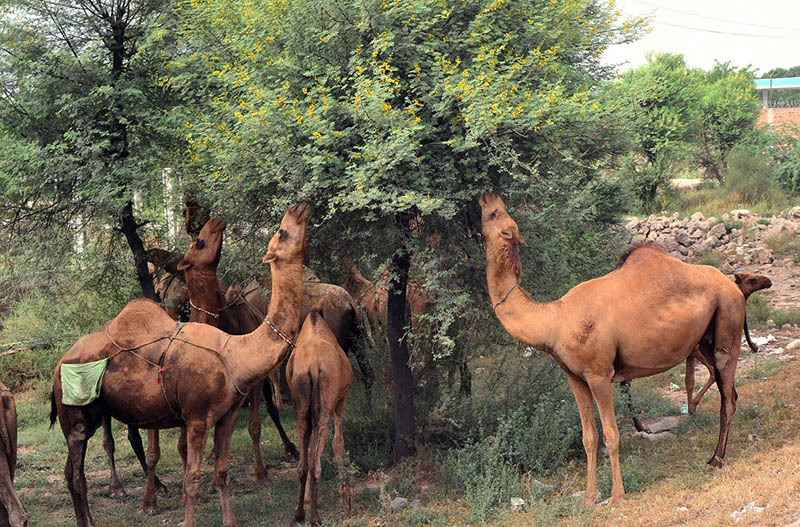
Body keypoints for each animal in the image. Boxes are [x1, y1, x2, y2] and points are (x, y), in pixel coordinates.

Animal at [51, 203, 311, 527]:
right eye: (282, 232)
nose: (299, 208)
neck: (234, 353)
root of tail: (58, 365)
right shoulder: (197, 416)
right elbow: (192, 478)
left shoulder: (226, 415)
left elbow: (222, 472)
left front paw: (230, 520)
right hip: (73, 416)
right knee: (77, 475)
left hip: (93, 415)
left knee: (71, 472)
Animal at [287, 308, 353, 527]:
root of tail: (314, 366)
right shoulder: (341, 400)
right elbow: (338, 443)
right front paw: (346, 500)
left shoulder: (308, 412)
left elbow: (308, 451)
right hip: (326, 406)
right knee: (316, 464)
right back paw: (315, 518)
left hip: (301, 406)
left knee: (303, 464)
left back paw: (299, 514)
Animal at [479, 193, 745, 505]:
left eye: (495, 214)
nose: (487, 196)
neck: (554, 320)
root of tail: (732, 285)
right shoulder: (575, 377)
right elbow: (589, 437)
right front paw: (589, 496)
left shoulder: (599, 374)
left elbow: (611, 434)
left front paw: (617, 495)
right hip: (703, 340)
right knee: (729, 390)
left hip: (728, 318)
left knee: (727, 396)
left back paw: (716, 459)